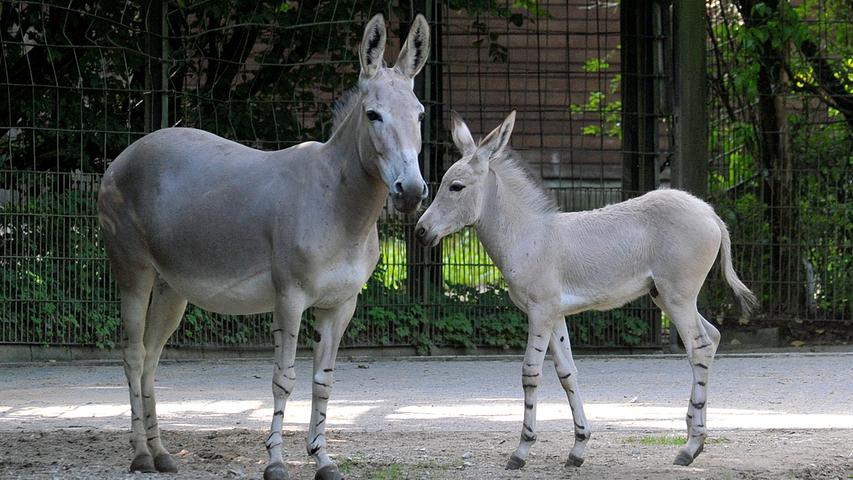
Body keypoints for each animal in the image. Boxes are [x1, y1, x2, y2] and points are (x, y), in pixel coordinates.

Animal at [99, 15, 430, 480]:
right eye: (373, 115)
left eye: (420, 115)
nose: (411, 192)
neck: (337, 204)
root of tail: (125, 153)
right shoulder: (289, 298)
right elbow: (283, 378)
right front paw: (275, 462)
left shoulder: (341, 305)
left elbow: (323, 381)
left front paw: (323, 460)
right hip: (133, 273)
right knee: (132, 354)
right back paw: (141, 455)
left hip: (171, 289)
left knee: (150, 357)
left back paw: (162, 454)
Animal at [416, 111, 756, 468]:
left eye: (455, 186)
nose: (420, 231)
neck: (528, 236)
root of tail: (710, 213)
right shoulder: (554, 314)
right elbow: (567, 372)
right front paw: (578, 447)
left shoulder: (539, 312)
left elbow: (530, 372)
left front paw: (521, 450)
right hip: (666, 296)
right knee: (712, 337)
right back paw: (695, 437)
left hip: (678, 297)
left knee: (699, 346)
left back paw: (690, 447)